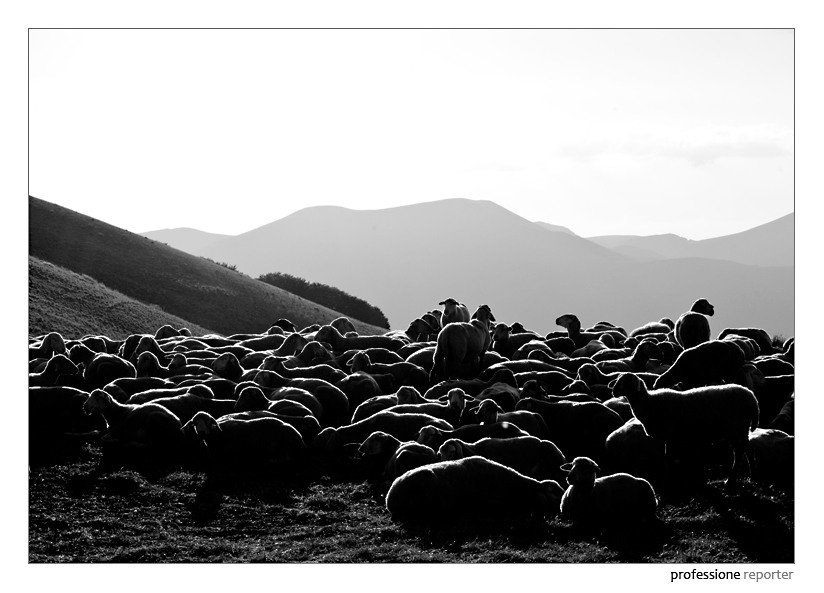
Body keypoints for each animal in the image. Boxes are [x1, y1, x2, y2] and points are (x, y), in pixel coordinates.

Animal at [611, 372, 759, 484]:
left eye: (627, 382)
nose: (613, 391)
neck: (648, 402)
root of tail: (752, 398)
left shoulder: (669, 435)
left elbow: (668, 457)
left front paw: (671, 477)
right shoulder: (671, 437)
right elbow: (670, 456)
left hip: (733, 428)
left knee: (739, 453)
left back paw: (730, 480)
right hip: (743, 428)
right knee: (749, 449)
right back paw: (752, 476)